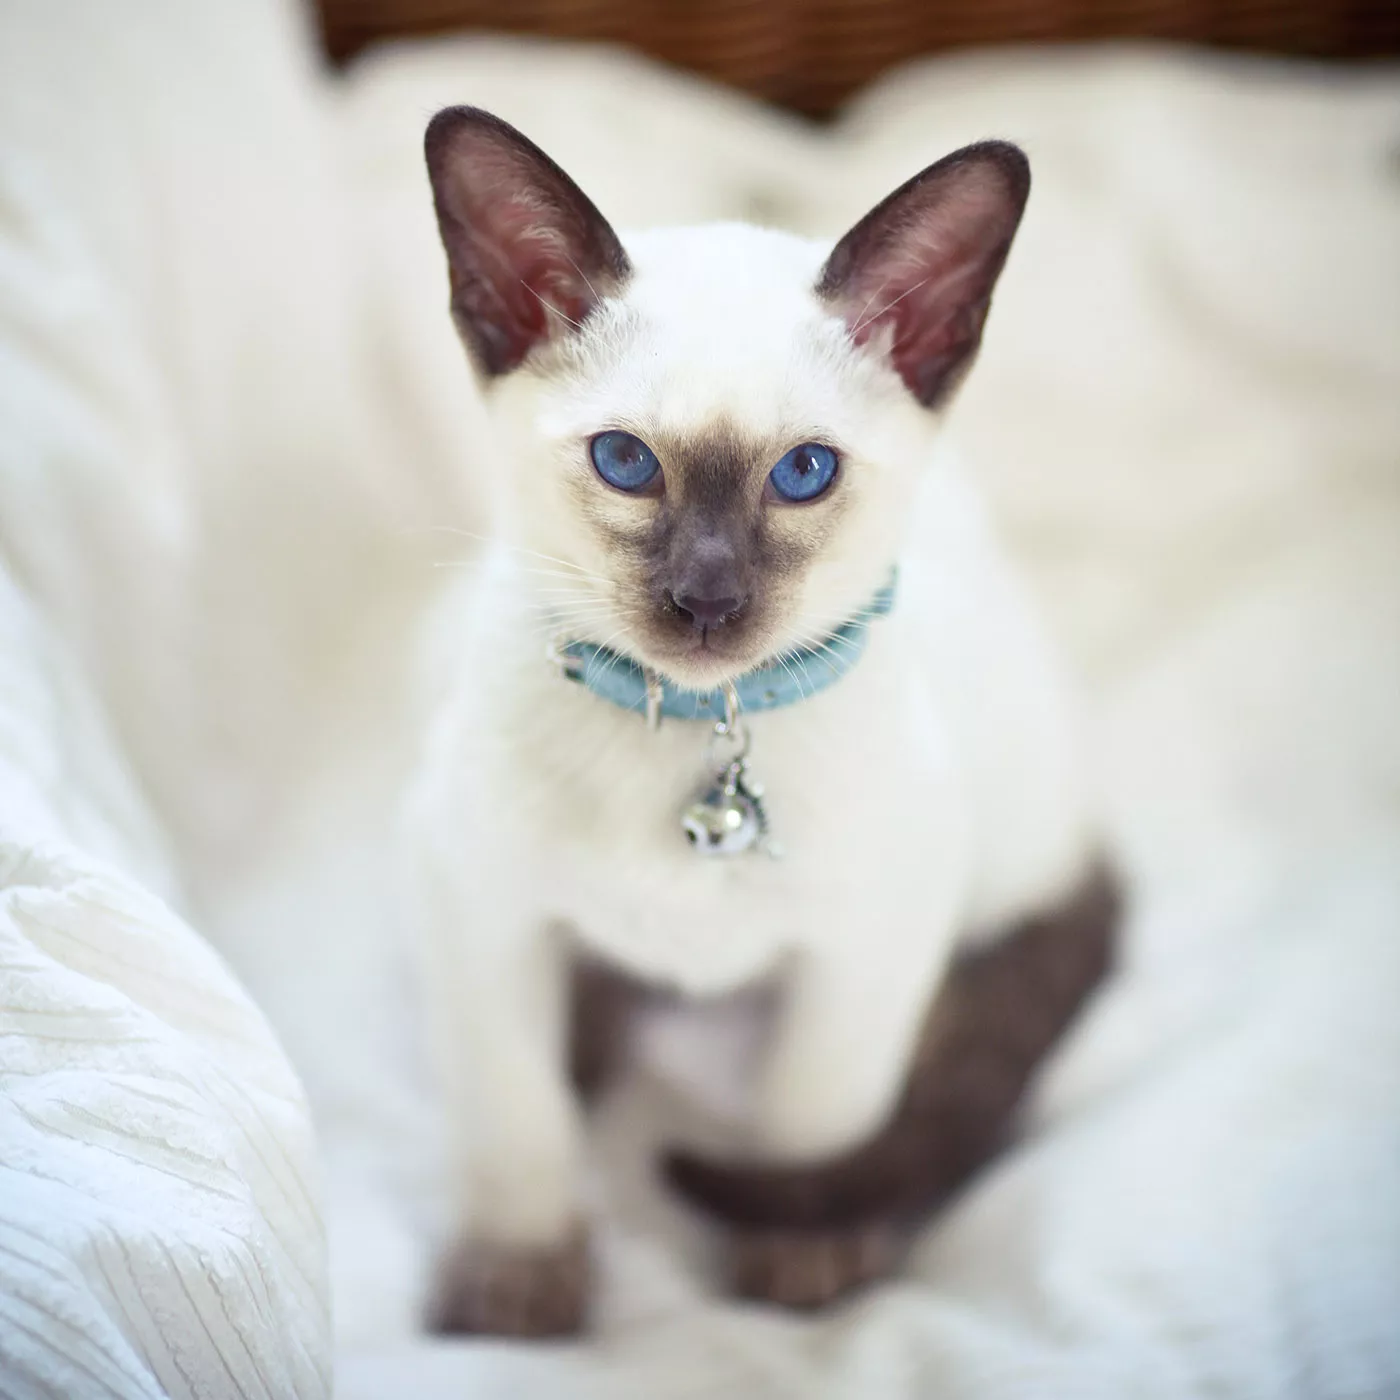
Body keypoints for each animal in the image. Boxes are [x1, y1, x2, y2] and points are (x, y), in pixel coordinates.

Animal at [408, 106, 1108, 1332]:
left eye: (804, 473)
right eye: (624, 461)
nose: (708, 601)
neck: (694, 727)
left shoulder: (861, 948)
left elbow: (810, 1117)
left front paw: (799, 1256)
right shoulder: (480, 913)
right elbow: (515, 1115)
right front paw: (519, 1274)